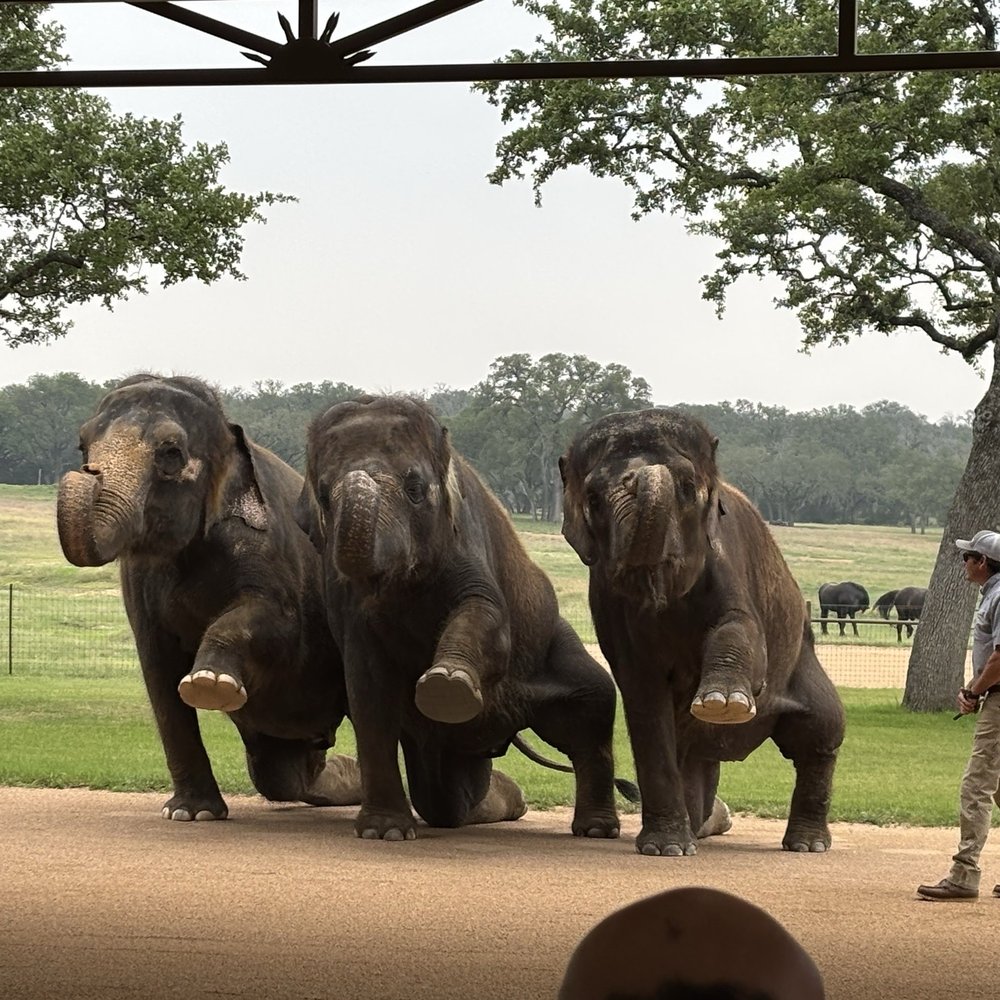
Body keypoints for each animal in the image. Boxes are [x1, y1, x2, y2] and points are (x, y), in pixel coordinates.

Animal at [56, 374, 361, 821]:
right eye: (82, 445)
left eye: (171, 453)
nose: (87, 471)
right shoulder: (140, 580)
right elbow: (158, 673)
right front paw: (190, 814)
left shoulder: (265, 544)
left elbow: (281, 625)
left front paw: (210, 684)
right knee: (280, 775)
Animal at [295, 395, 624, 843]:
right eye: (325, 495)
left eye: (415, 489)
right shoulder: (341, 595)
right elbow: (369, 692)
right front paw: (386, 833)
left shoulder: (466, 537)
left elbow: (488, 615)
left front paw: (446, 686)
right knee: (444, 797)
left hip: (554, 642)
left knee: (595, 704)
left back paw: (595, 830)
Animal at [559, 408, 846, 857]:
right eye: (592, 499)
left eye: (687, 486)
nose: (638, 477)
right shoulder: (606, 600)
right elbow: (643, 698)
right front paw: (665, 850)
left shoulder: (728, 560)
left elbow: (743, 631)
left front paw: (722, 704)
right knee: (694, 758)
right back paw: (695, 829)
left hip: (805, 660)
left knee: (820, 731)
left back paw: (807, 844)